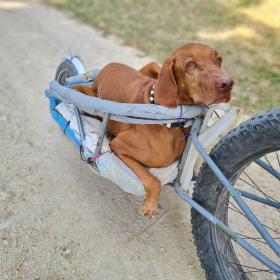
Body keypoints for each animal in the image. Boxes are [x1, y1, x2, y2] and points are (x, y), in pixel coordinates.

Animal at [71, 43, 233, 217]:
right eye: (191, 64)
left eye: (218, 60)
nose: (228, 83)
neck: (173, 125)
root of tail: (107, 66)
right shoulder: (119, 146)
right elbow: (154, 180)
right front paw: (150, 205)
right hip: (87, 98)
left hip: (155, 66)